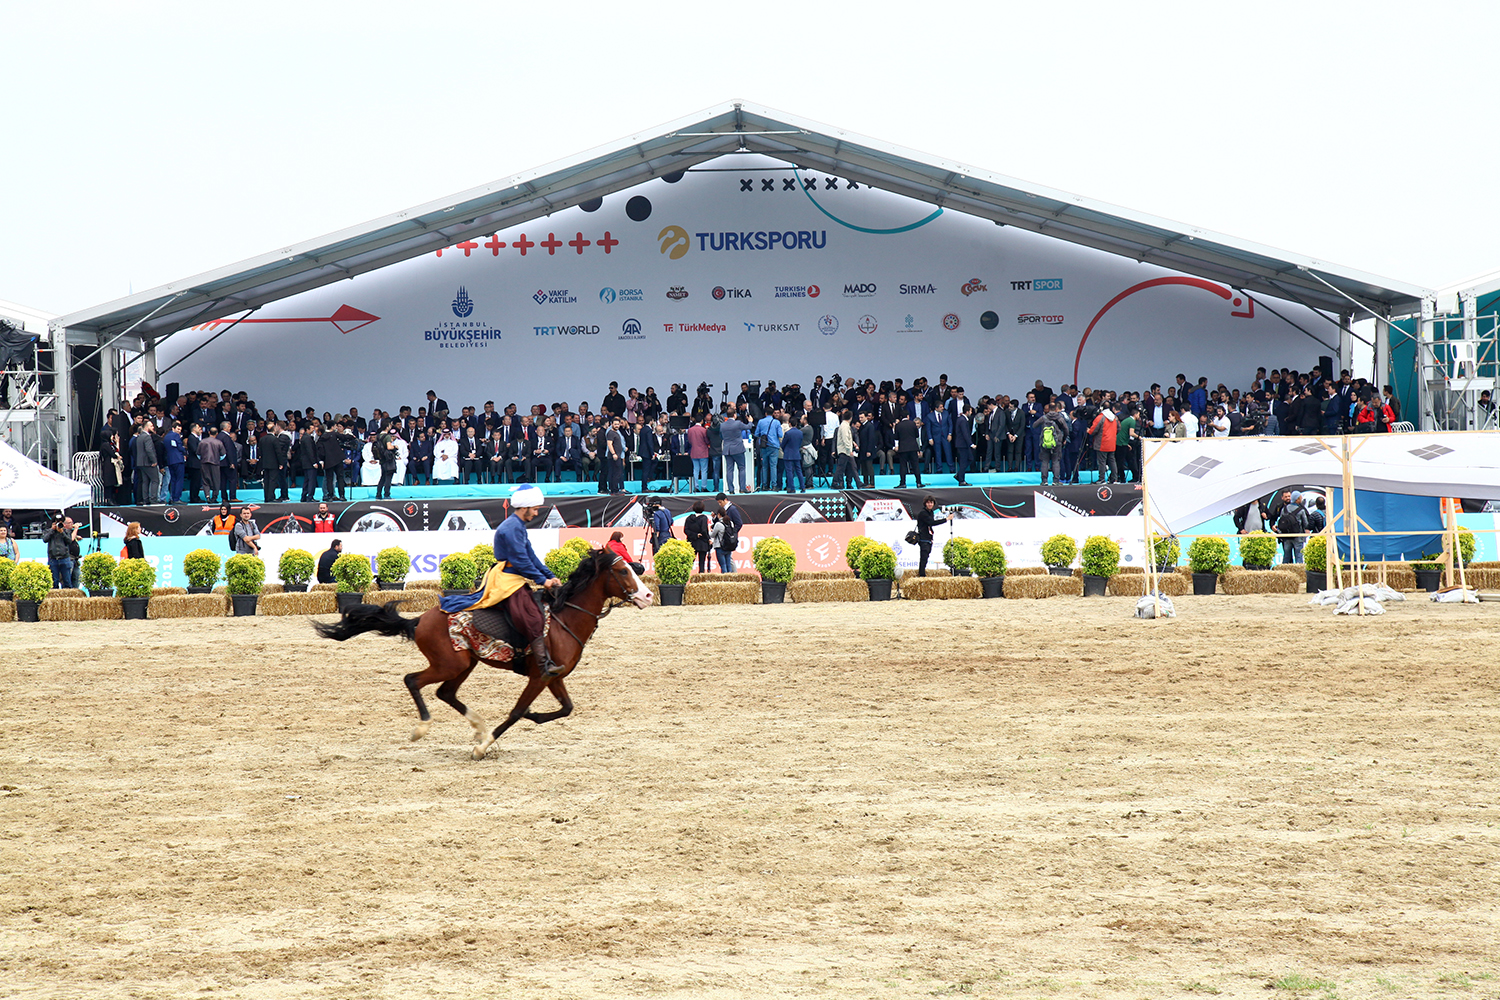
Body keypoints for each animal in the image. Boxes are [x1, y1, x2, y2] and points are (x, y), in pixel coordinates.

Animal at [316, 548, 651, 758]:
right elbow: (516, 712)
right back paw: (425, 728)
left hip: (465, 665)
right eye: (623, 571)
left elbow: (566, 708)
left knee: (445, 693)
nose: (647, 595)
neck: (563, 619)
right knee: (412, 680)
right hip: (449, 665)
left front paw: (530, 717)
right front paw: (485, 746)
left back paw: (477, 726)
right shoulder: (539, 677)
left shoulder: (554, 677)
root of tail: (420, 619)